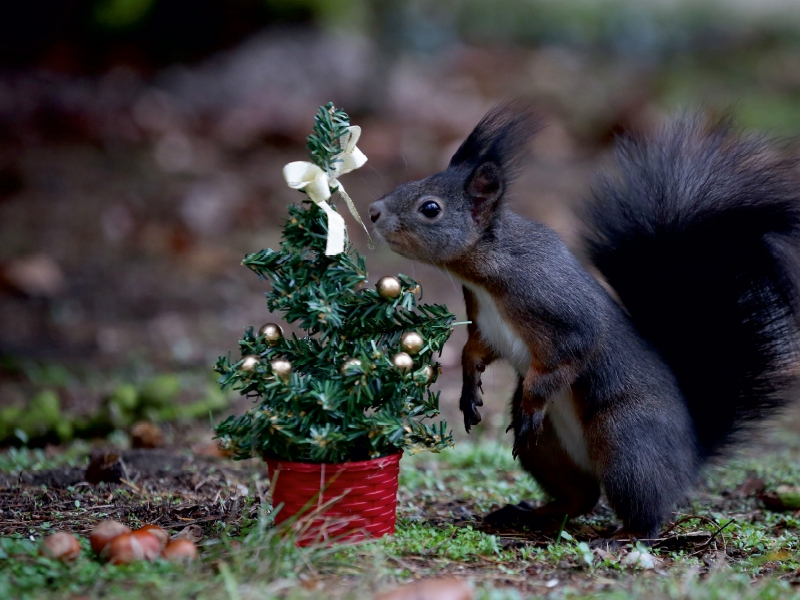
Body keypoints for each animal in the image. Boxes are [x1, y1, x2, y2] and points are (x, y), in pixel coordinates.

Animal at [366, 102, 800, 540]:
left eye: (430, 208)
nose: (372, 210)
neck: (487, 268)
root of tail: (691, 455)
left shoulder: (561, 314)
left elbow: (567, 357)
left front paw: (530, 402)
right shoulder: (484, 322)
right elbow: (475, 351)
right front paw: (469, 393)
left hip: (625, 441)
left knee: (643, 512)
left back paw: (622, 535)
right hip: (548, 451)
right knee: (582, 497)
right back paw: (526, 514)